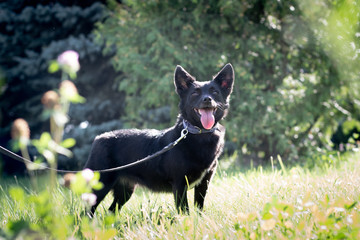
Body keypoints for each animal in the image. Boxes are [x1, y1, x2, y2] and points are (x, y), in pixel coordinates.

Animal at [85, 63, 235, 214]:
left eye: (214, 92)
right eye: (195, 93)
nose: (207, 99)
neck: (199, 134)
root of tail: (98, 138)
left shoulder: (203, 184)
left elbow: (199, 208)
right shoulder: (180, 185)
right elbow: (184, 210)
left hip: (125, 191)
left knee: (111, 211)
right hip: (100, 187)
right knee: (86, 213)